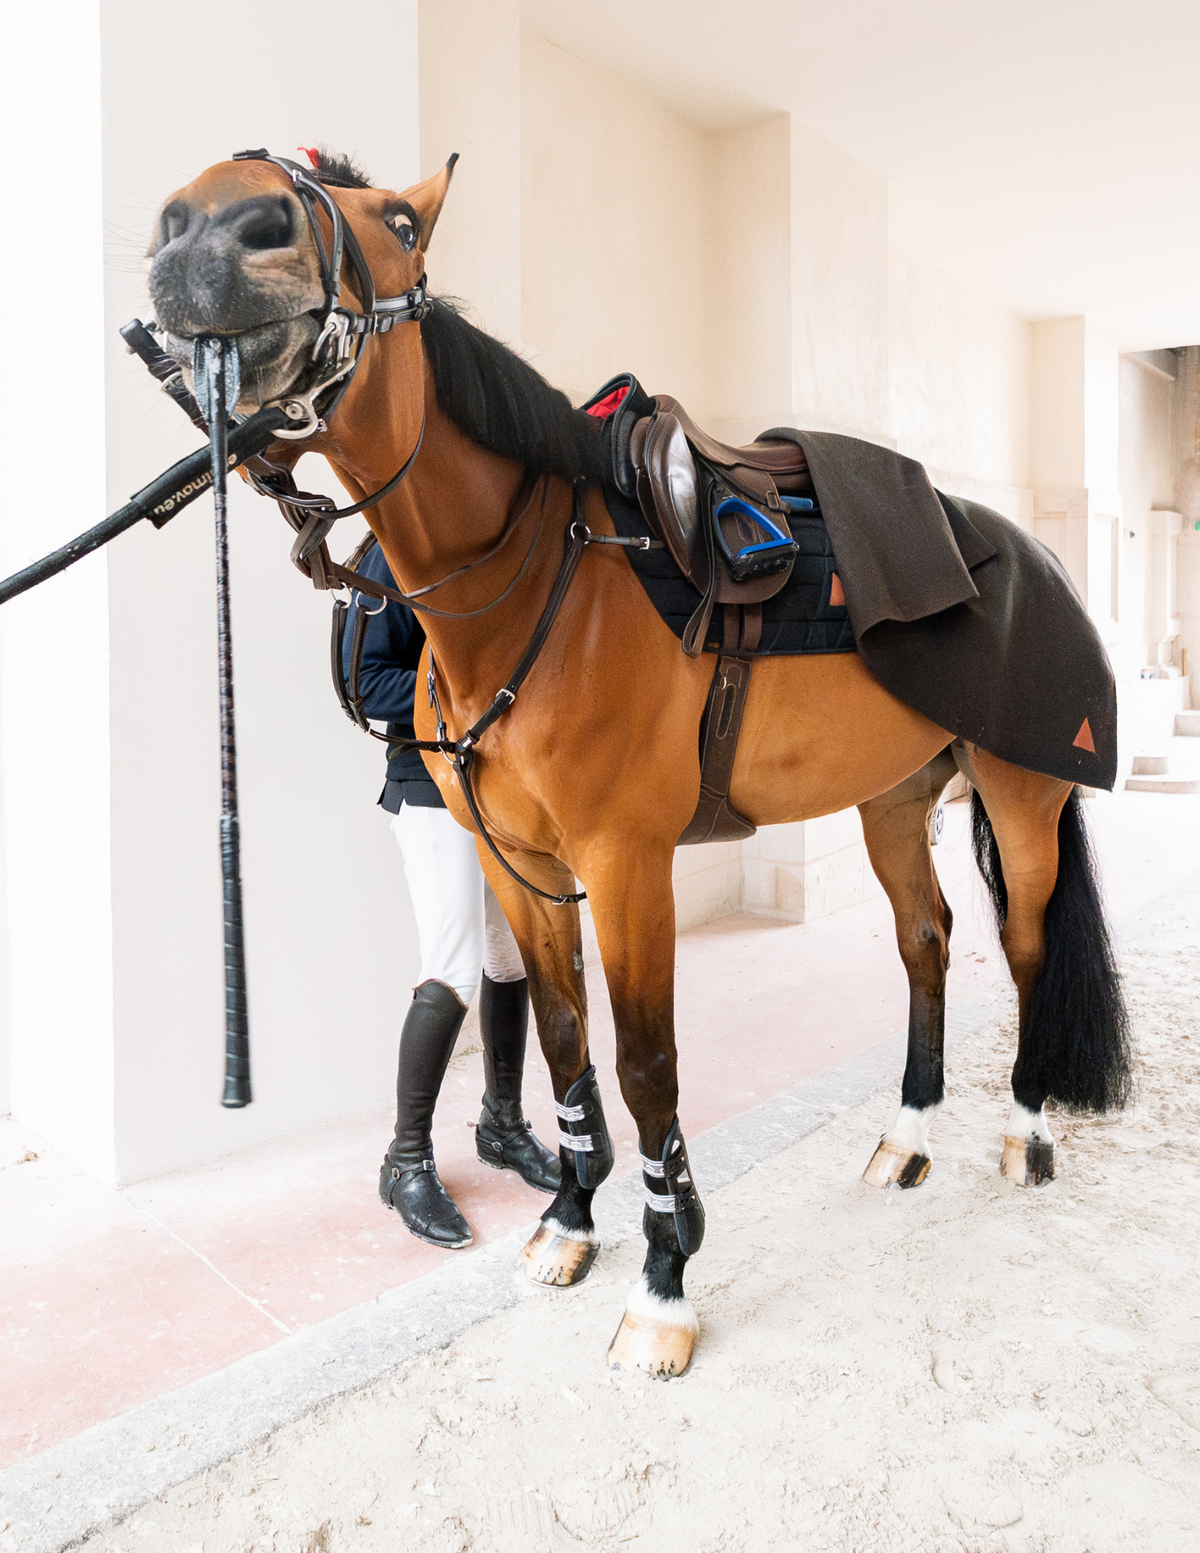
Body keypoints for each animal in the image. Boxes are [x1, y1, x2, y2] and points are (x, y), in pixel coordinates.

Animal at [146, 149, 1132, 1378]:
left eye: (400, 224)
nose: (205, 225)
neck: (529, 578)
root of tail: (1032, 554)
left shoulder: (627, 864)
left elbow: (647, 1063)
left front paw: (666, 1279)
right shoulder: (522, 867)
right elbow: (563, 1038)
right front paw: (570, 1220)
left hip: (1023, 794)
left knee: (1029, 947)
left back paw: (1025, 1128)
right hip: (895, 802)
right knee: (928, 940)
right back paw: (904, 1136)